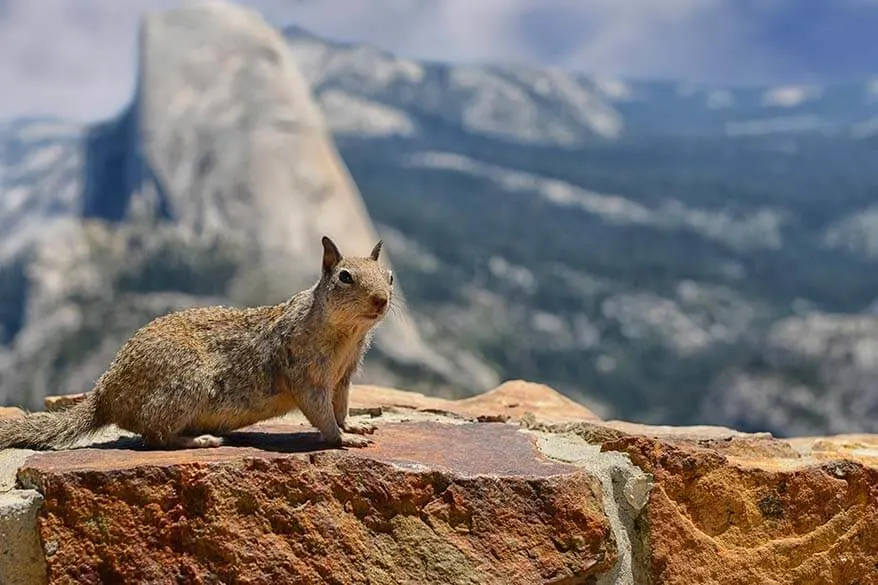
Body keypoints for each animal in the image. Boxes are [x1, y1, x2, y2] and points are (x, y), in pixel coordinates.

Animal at [0, 235, 394, 450]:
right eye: (345, 277)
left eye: (389, 276)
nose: (382, 300)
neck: (346, 335)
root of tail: (105, 393)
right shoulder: (306, 369)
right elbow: (319, 409)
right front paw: (341, 438)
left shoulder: (343, 377)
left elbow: (340, 405)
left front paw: (352, 426)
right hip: (186, 386)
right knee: (153, 436)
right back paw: (199, 440)